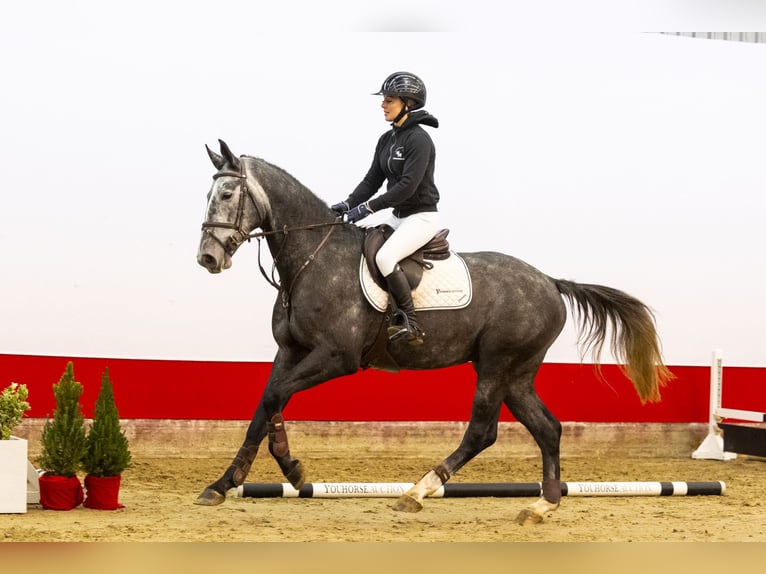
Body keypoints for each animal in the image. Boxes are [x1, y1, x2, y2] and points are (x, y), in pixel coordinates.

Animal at [196, 141, 672, 528]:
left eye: (226, 195)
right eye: (208, 195)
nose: (207, 258)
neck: (314, 257)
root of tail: (550, 283)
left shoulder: (335, 357)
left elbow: (276, 397)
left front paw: (289, 468)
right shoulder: (291, 351)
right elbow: (265, 404)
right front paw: (224, 483)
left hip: (497, 365)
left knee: (483, 431)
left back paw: (418, 492)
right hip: (516, 373)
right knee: (548, 428)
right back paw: (541, 506)